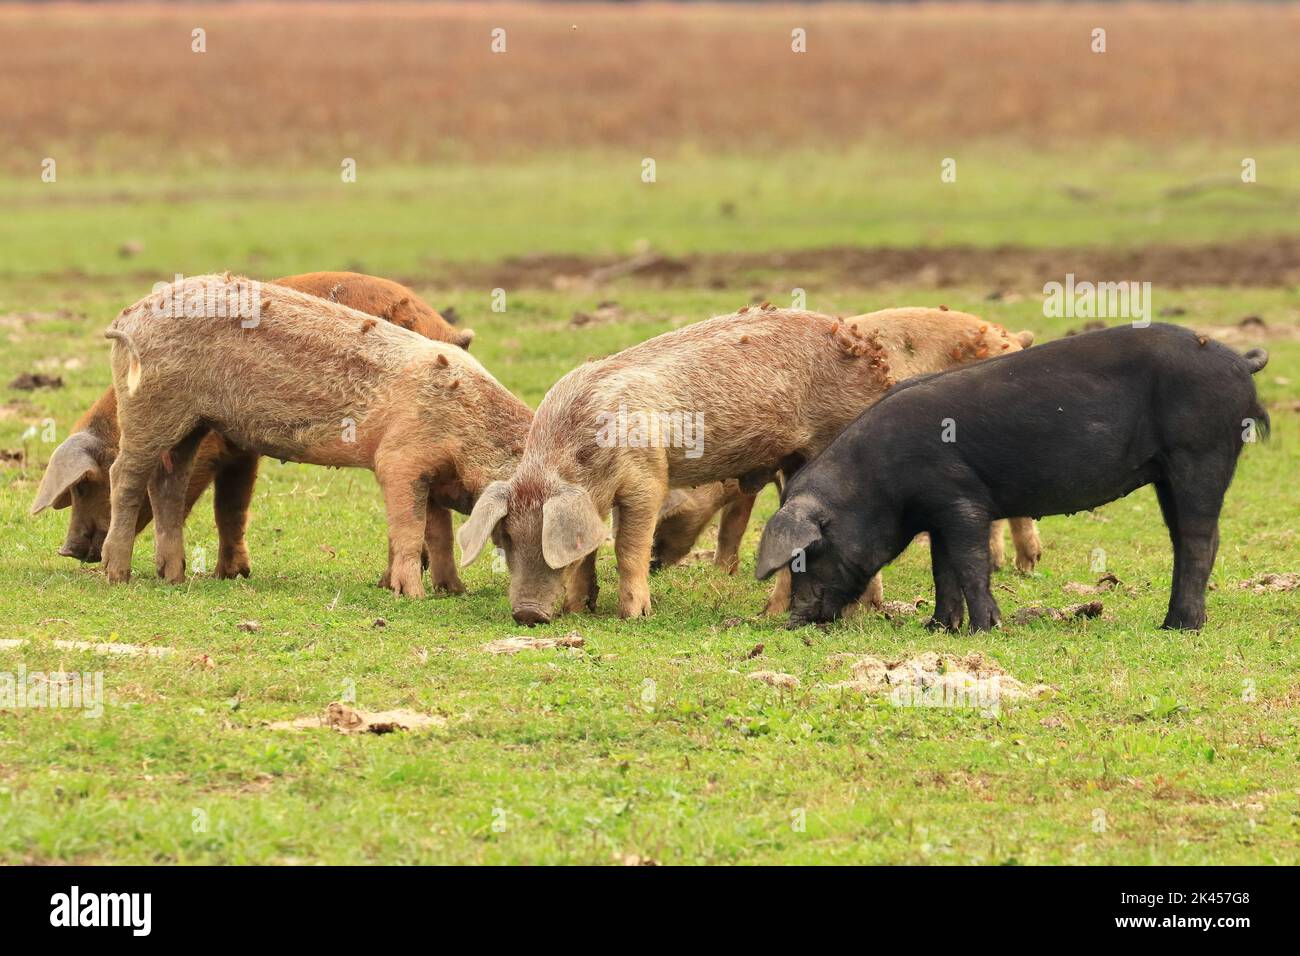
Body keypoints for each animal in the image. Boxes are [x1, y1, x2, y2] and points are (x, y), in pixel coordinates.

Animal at [94, 274, 531, 596]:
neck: (467, 421)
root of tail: (125, 319)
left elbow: (435, 533)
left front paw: (453, 591)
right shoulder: (400, 459)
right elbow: (409, 527)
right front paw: (414, 595)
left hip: (193, 423)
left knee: (168, 482)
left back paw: (174, 577)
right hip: (149, 409)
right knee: (125, 476)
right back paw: (117, 576)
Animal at [456, 304, 1037, 624]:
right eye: (505, 540)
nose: (526, 615)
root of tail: (869, 352)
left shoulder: (647, 476)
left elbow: (627, 546)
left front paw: (634, 615)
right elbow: (590, 551)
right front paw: (581, 608)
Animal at [755, 324, 1270, 631]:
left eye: (808, 554)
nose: (796, 619)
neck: (875, 483)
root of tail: (1239, 361)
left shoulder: (960, 499)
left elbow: (970, 564)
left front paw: (985, 628)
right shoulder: (937, 513)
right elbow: (942, 569)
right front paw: (937, 627)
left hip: (1200, 453)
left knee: (1198, 539)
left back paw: (1179, 626)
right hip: (1173, 469)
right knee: (1193, 537)